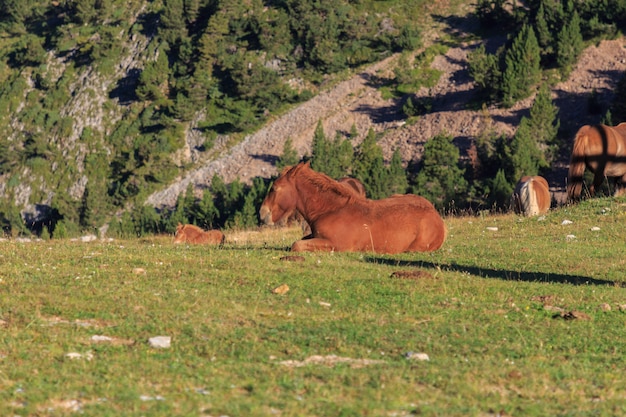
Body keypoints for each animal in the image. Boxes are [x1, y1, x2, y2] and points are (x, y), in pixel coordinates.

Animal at [258, 162, 444, 254]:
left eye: (274, 188)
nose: (262, 213)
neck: (331, 210)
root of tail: (436, 215)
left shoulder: (337, 245)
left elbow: (296, 245)